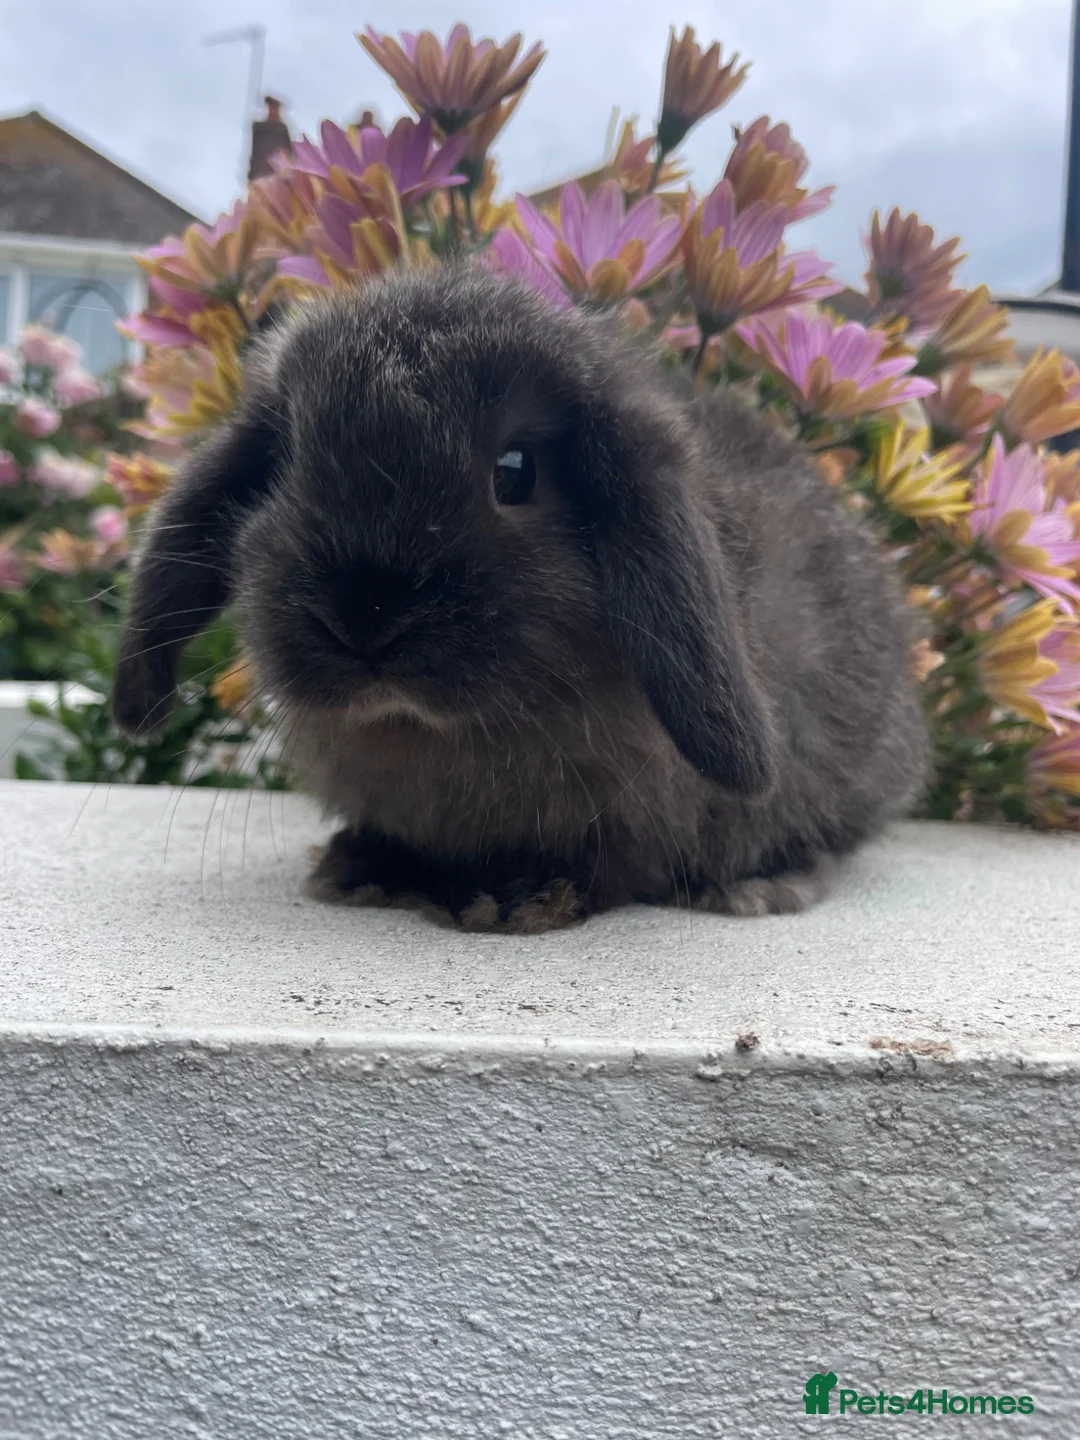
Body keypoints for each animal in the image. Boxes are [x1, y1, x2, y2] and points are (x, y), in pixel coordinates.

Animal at [112, 265, 928, 932]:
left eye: (517, 470)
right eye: (282, 467)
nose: (363, 616)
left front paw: (512, 899)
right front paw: (365, 869)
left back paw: (758, 885)